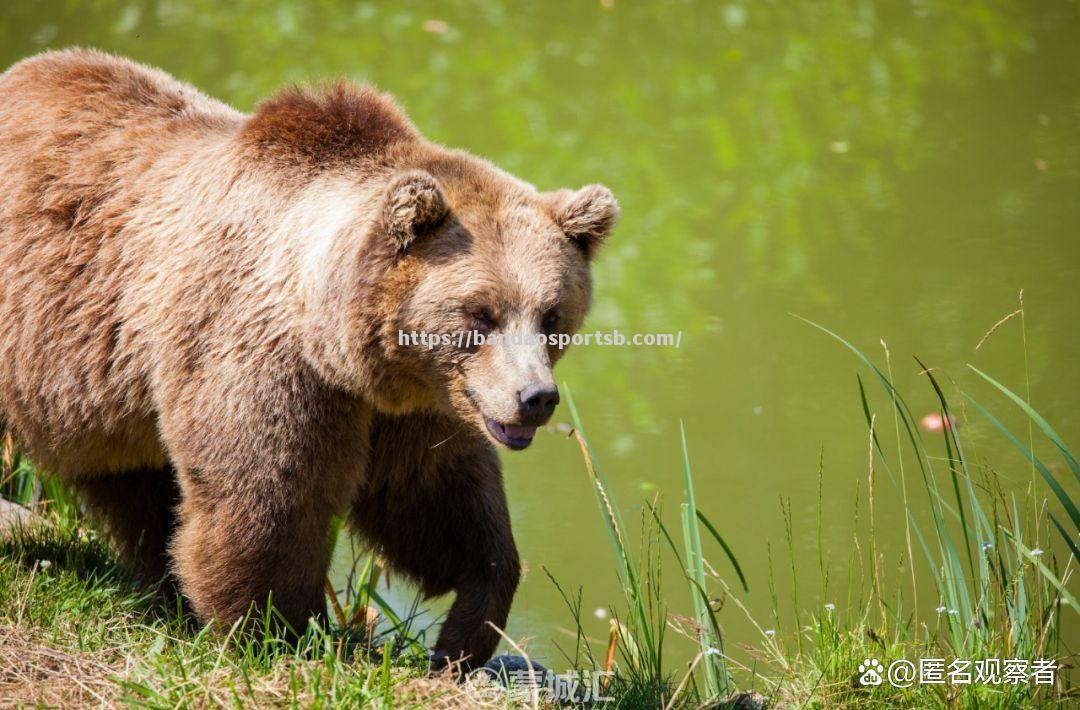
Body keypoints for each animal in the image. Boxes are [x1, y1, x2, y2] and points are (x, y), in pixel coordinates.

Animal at [0, 49, 617, 670]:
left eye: (551, 315)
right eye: (480, 314)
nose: (535, 398)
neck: (337, 340)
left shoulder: (416, 405)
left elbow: (436, 499)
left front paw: (465, 631)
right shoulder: (262, 356)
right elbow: (267, 499)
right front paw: (281, 633)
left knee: (132, 483)